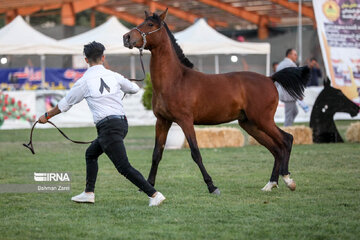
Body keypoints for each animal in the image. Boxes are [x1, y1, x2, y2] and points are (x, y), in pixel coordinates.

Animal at [124, 9, 310, 194]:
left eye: (150, 24)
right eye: (142, 22)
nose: (127, 37)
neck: (175, 80)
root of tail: (270, 78)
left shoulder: (185, 121)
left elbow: (195, 153)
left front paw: (212, 186)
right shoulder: (162, 121)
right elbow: (157, 153)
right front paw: (148, 185)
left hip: (263, 120)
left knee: (286, 140)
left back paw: (288, 180)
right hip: (250, 124)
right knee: (276, 148)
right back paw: (271, 184)